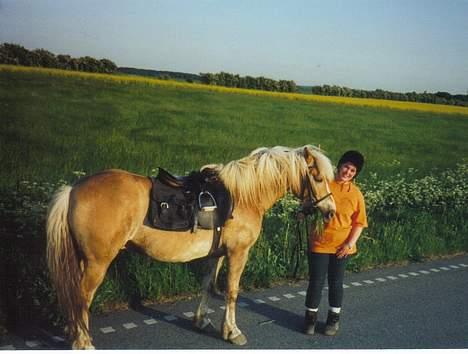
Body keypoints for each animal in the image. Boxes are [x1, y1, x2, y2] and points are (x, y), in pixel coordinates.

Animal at [45, 145, 334, 350]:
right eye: (318, 177)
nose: (331, 211)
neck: (244, 196)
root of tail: (73, 189)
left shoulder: (217, 254)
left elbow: (207, 285)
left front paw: (202, 321)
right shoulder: (238, 253)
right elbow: (231, 292)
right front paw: (232, 332)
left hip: (83, 259)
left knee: (74, 296)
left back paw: (74, 333)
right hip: (98, 262)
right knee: (82, 296)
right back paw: (83, 342)